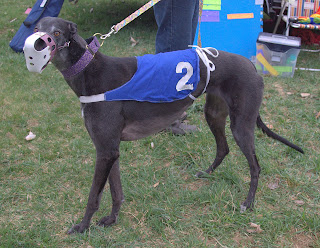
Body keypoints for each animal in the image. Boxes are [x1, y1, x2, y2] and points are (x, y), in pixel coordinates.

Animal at [23, 16, 304, 233]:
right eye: (36, 27)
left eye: (56, 33)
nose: (36, 45)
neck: (90, 71)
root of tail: (253, 67)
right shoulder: (109, 149)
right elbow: (116, 191)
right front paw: (112, 220)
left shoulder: (105, 151)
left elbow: (94, 196)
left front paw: (82, 227)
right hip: (214, 114)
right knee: (223, 148)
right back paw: (207, 173)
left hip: (241, 125)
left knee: (255, 166)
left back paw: (248, 202)